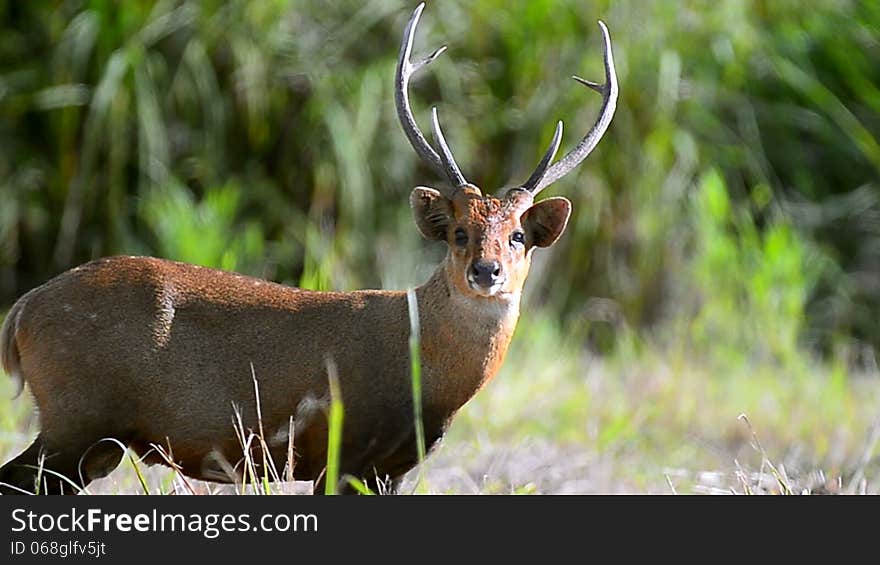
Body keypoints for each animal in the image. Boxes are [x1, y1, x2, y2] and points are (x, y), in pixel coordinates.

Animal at [0, 2, 616, 492]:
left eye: (518, 235)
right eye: (459, 232)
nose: (487, 271)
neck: (425, 373)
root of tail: (22, 311)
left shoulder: (391, 467)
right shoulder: (343, 449)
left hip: (92, 440)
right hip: (77, 415)